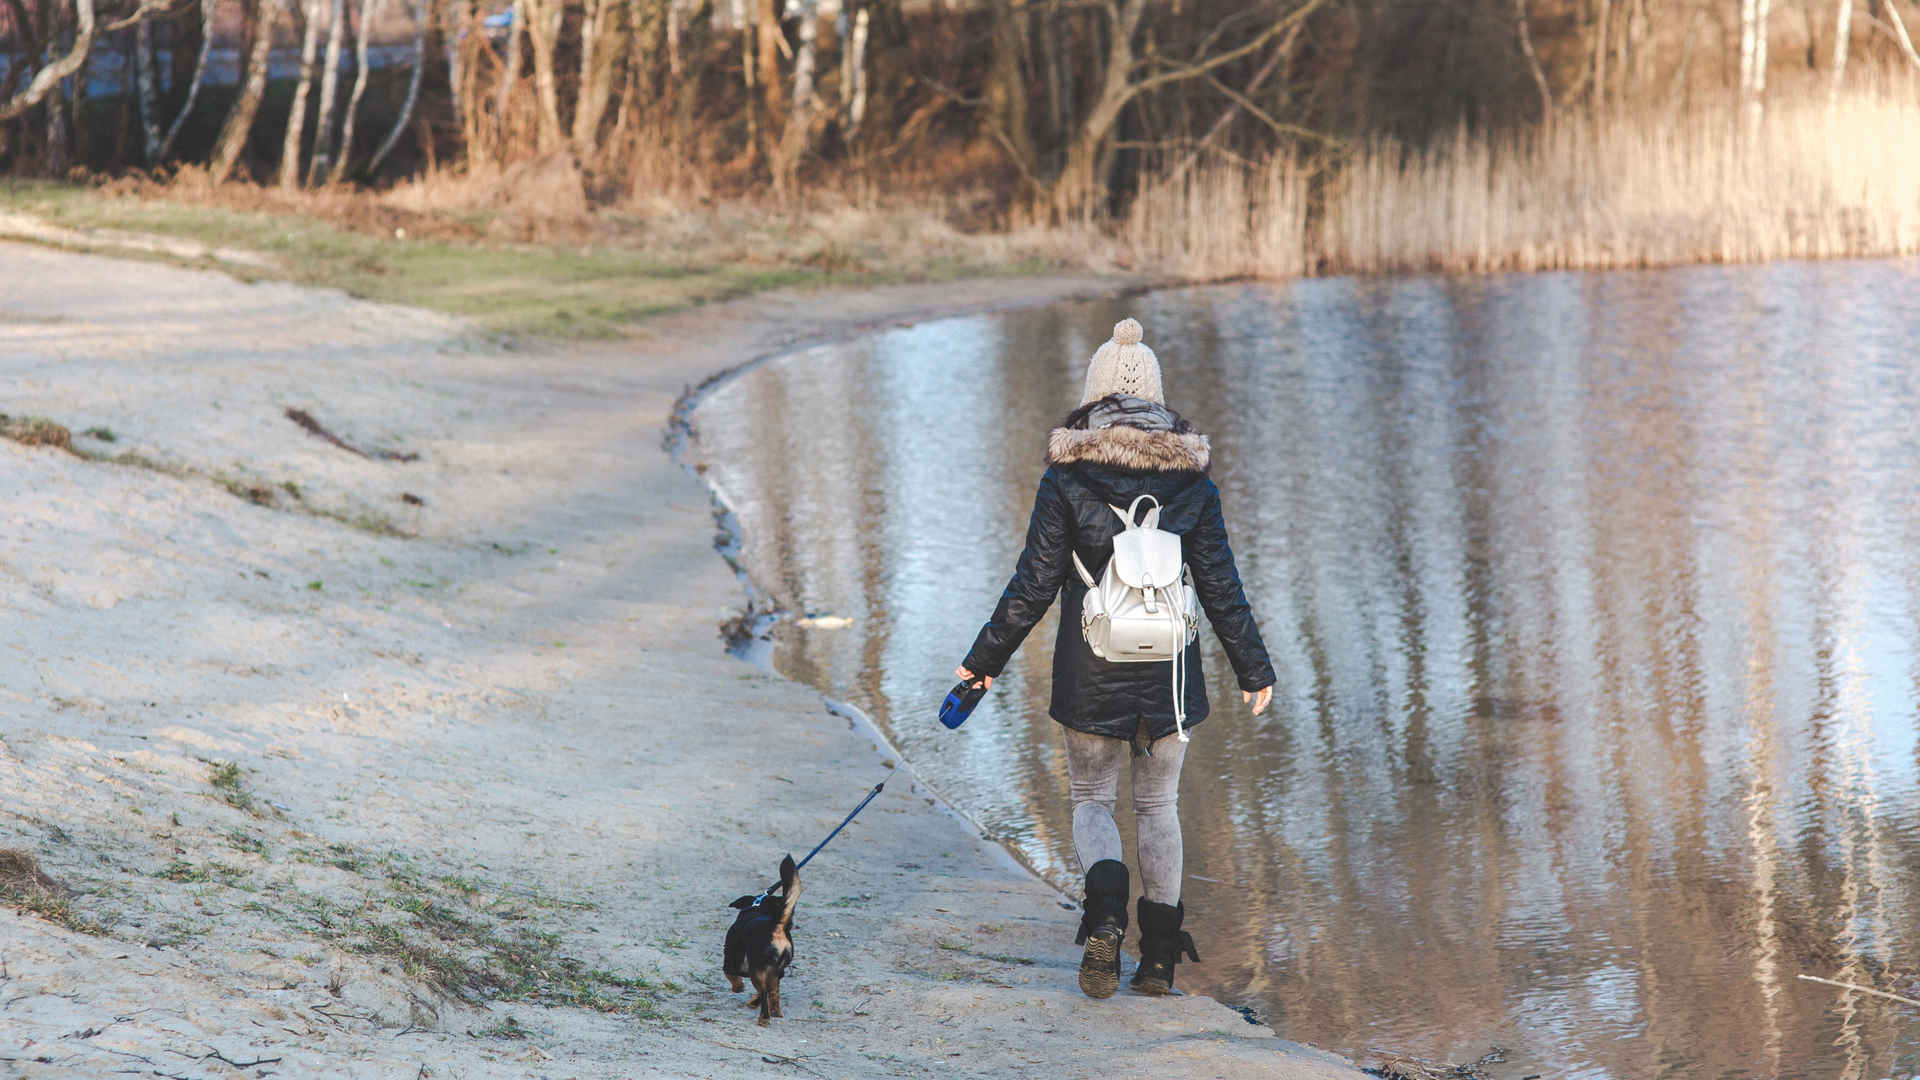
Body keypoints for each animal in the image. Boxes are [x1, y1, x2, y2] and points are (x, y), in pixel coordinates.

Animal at [725, 853, 802, 1022]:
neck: (757, 907)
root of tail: (778, 926)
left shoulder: (731, 960)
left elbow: (731, 975)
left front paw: (738, 987)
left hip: (757, 970)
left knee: (764, 990)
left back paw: (764, 1018)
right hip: (777, 971)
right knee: (772, 992)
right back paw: (774, 1011)